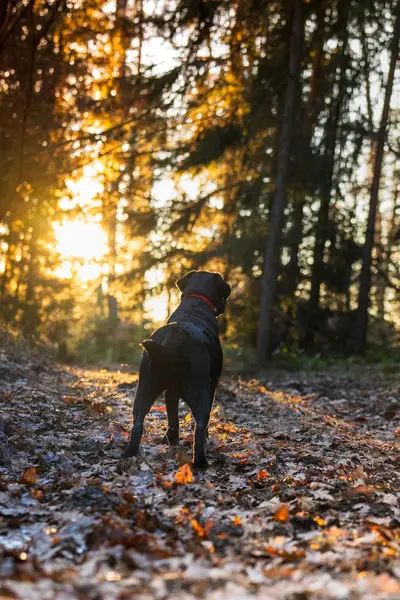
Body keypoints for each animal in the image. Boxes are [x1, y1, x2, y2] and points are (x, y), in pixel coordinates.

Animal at [124, 270, 231, 468]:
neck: (195, 303)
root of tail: (176, 337)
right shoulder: (212, 386)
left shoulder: (170, 392)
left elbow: (172, 417)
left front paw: (171, 440)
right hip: (199, 391)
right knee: (200, 426)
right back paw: (201, 462)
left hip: (144, 387)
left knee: (137, 423)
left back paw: (130, 454)